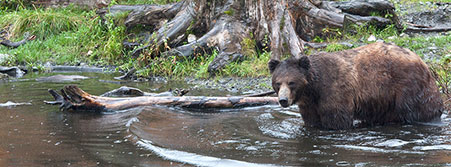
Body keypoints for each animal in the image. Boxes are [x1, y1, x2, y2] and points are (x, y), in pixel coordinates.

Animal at [268, 42, 444, 130]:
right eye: (277, 83)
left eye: (291, 82)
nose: (283, 100)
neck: (312, 90)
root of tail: (422, 61)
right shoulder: (310, 105)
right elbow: (311, 121)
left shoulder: (334, 91)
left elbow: (337, 120)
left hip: (408, 87)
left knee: (415, 110)